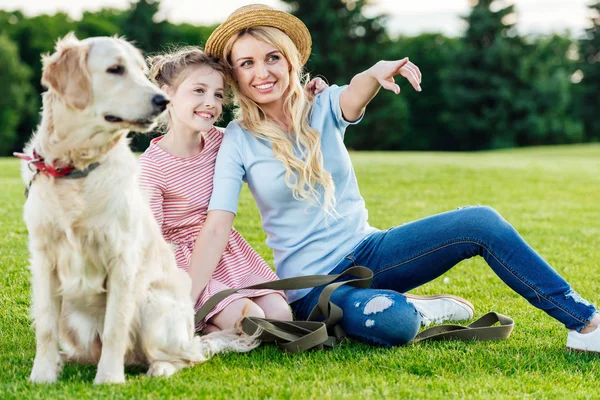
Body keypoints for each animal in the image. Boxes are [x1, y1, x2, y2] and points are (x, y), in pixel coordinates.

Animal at [17, 34, 256, 384]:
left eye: (142, 71)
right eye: (115, 69)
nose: (162, 101)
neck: (78, 168)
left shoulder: (122, 259)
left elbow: (115, 326)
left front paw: (109, 380)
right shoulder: (44, 258)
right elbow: (45, 326)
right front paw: (42, 376)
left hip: (153, 304)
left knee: (185, 358)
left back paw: (159, 367)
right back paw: (67, 359)